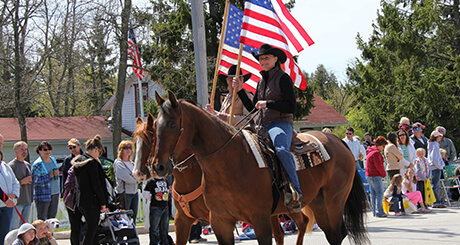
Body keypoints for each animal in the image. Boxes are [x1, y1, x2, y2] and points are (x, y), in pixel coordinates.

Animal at [133, 114, 312, 245]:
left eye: (151, 139)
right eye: (135, 142)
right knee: (280, 233)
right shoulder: (182, 219)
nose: (138, 173)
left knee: (303, 222)